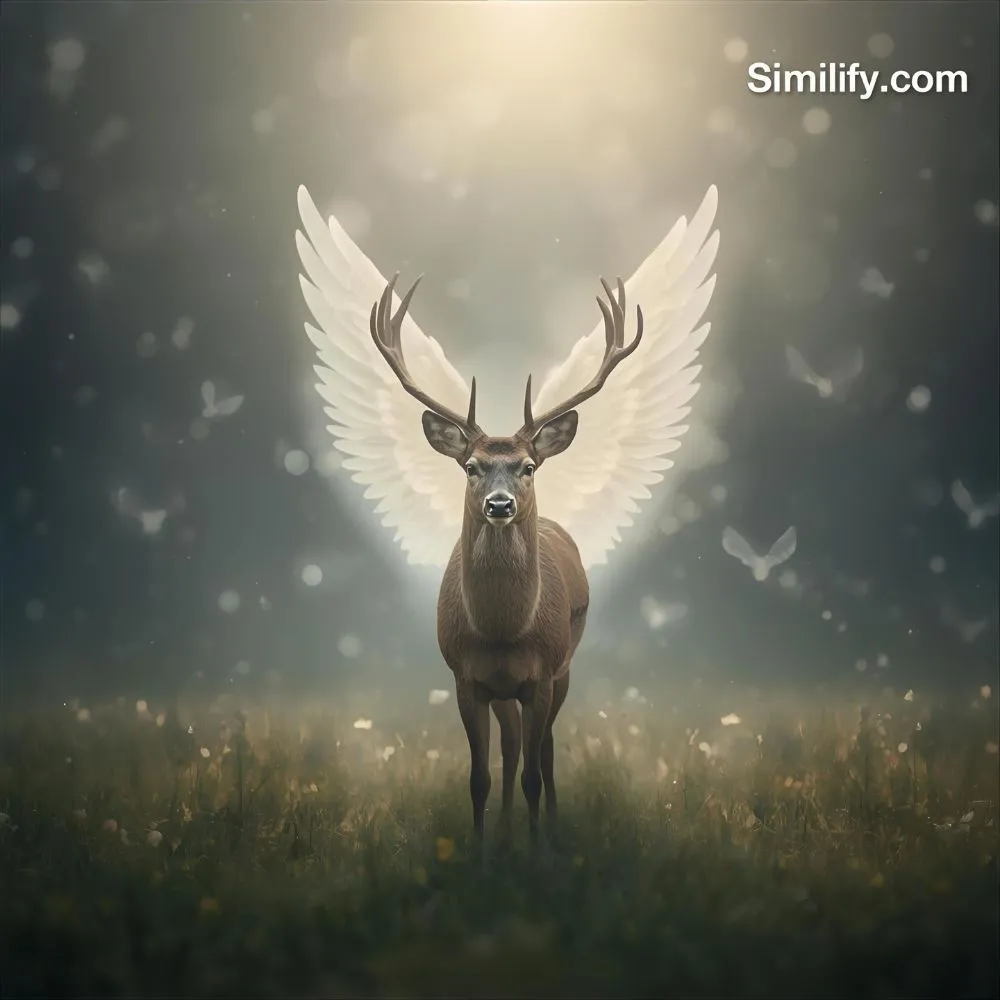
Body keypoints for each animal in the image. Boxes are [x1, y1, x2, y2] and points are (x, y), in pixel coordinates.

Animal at [367, 272, 643, 845]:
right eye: (471, 466)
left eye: (529, 466)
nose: (499, 504)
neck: (502, 630)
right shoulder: (465, 677)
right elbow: (479, 777)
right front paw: (483, 848)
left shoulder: (542, 673)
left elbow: (538, 771)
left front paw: (538, 850)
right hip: (504, 691)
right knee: (514, 747)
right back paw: (507, 828)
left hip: (565, 667)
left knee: (546, 750)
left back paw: (546, 827)